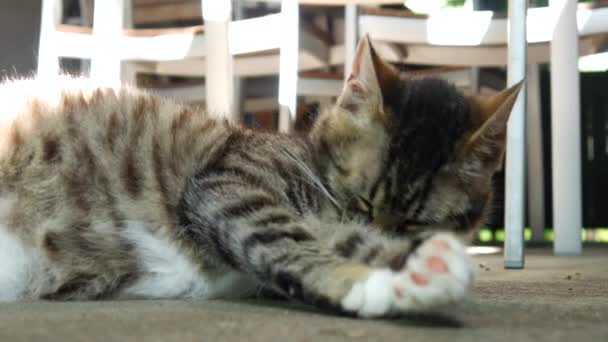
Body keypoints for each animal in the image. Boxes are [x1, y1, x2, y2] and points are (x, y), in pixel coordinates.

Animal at [0, 36, 524, 316]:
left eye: (415, 222)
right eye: (362, 200)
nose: (386, 231)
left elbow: (337, 238)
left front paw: (416, 268)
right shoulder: (229, 184)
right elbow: (284, 236)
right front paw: (359, 280)